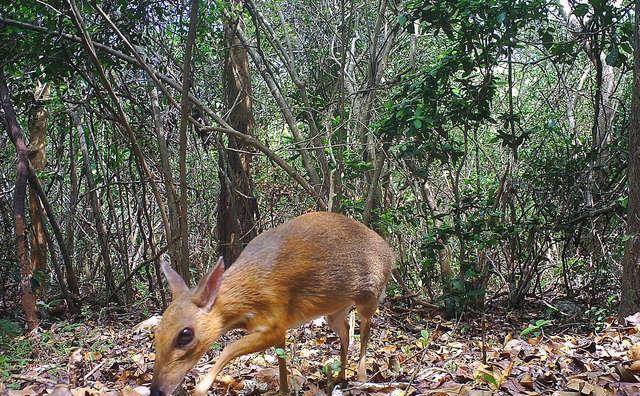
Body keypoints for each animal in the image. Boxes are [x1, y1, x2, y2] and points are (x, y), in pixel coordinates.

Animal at [150, 213, 392, 396]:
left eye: (185, 334)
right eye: (156, 332)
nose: (156, 391)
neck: (246, 296)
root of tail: (391, 252)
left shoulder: (274, 322)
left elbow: (228, 348)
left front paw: (200, 388)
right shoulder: (278, 329)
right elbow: (280, 362)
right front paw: (283, 391)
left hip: (369, 296)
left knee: (365, 330)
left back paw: (361, 378)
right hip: (334, 311)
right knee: (346, 331)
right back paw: (340, 378)